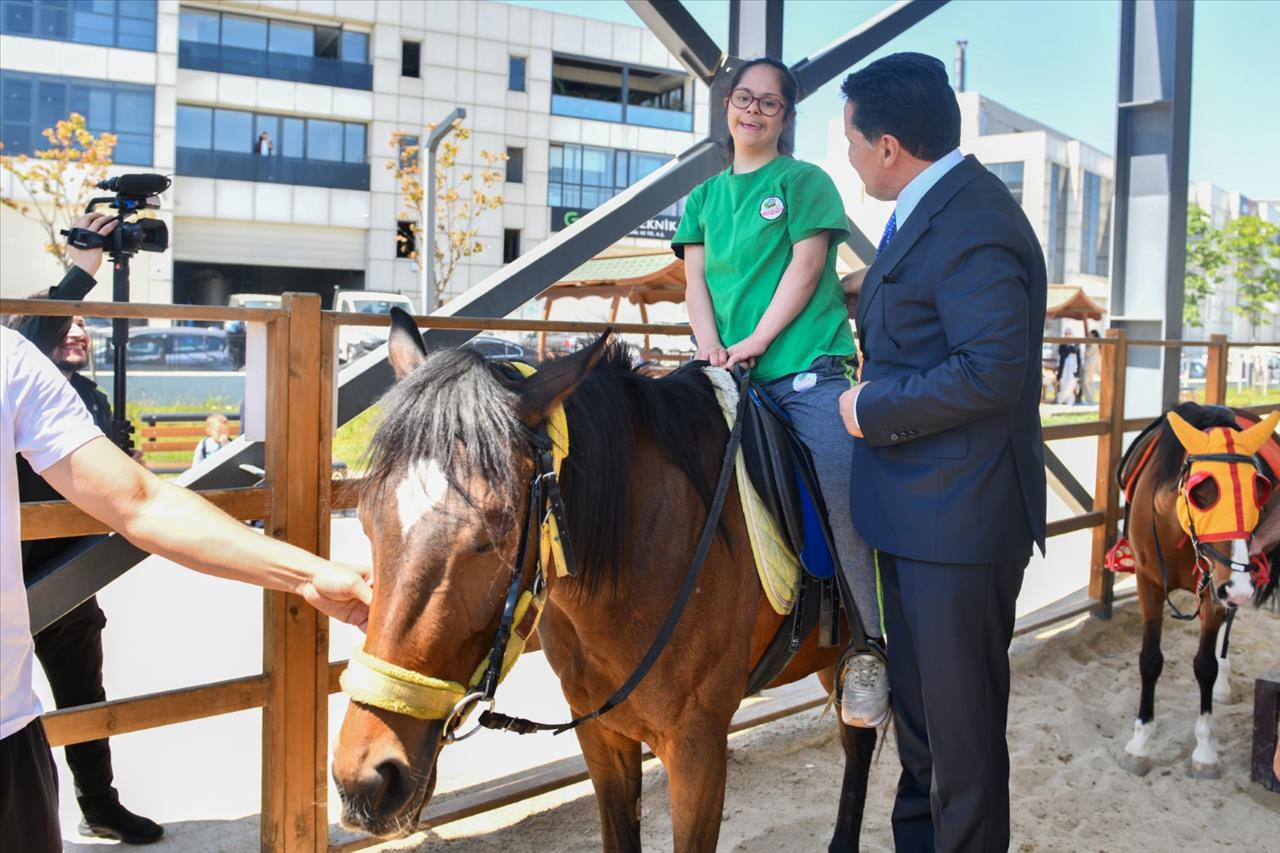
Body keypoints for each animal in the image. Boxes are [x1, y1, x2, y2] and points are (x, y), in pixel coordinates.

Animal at [1116, 402, 1274, 773]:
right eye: (1202, 493)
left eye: (1257, 491)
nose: (1240, 588)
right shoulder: (1148, 582)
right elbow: (1150, 660)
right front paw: (1140, 743)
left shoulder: (1217, 587)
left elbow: (1205, 665)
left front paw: (1204, 748)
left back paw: (1223, 683)